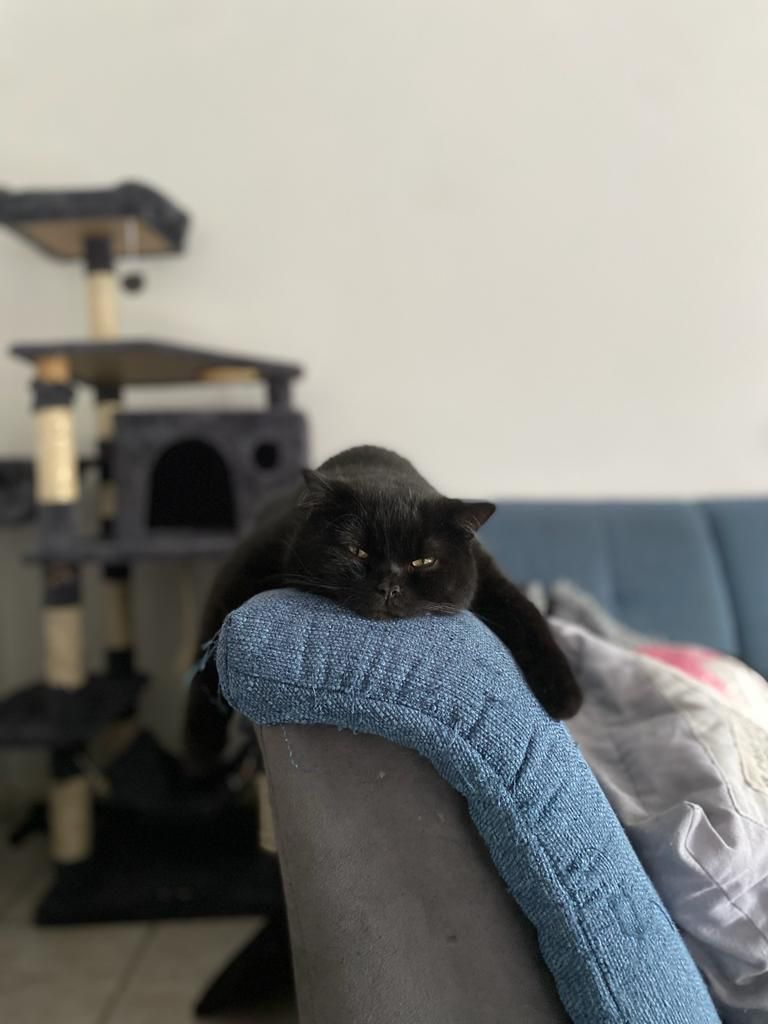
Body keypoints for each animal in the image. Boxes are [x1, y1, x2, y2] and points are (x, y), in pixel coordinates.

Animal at [184, 445, 582, 771]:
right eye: (356, 551)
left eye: (423, 561)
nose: (388, 586)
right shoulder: (245, 563)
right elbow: (209, 647)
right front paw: (201, 746)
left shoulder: (489, 575)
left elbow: (524, 610)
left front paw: (565, 696)